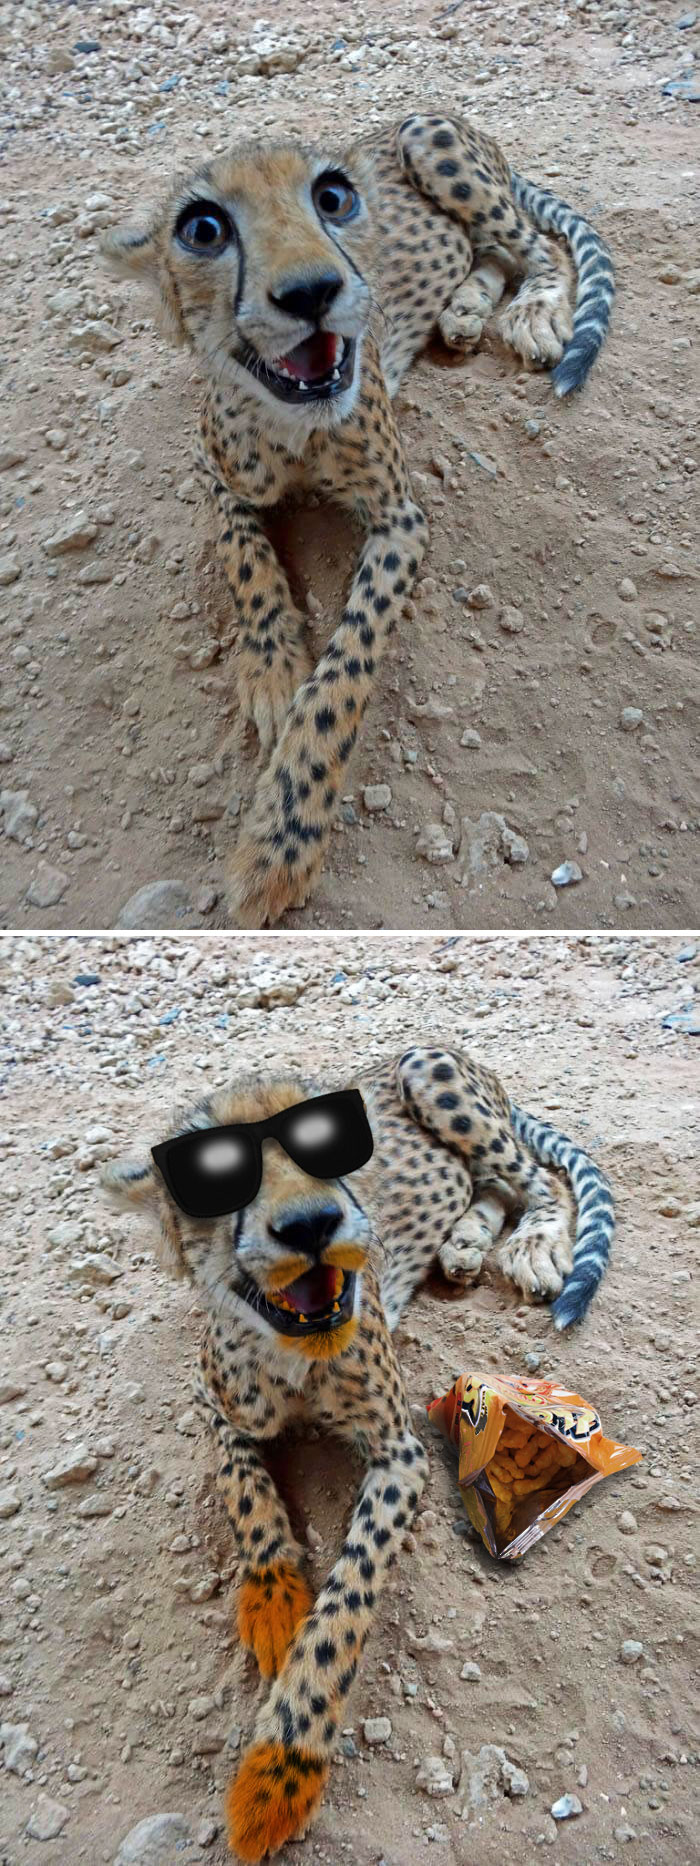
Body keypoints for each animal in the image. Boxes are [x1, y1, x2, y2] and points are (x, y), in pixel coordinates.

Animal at [103, 110, 615, 929]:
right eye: (202, 229)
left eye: (333, 197)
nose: (312, 290)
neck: (291, 418)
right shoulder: (217, 479)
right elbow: (247, 564)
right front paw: (272, 668)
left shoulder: (401, 517)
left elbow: (344, 669)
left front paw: (283, 839)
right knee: (494, 253)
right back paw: (464, 309)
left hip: (433, 143)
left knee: (535, 248)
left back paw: (529, 314)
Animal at [103, 1042, 614, 1862]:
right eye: (213, 1183)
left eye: (328, 1147)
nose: (311, 1222)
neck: (292, 1350)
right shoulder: (214, 1408)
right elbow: (246, 1494)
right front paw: (274, 1598)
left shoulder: (400, 1451)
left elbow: (348, 1595)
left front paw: (282, 1766)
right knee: (495, 1185)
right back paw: (464, 1242)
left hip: (432, 1073)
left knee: (535, 1181)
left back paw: (528, 1247)